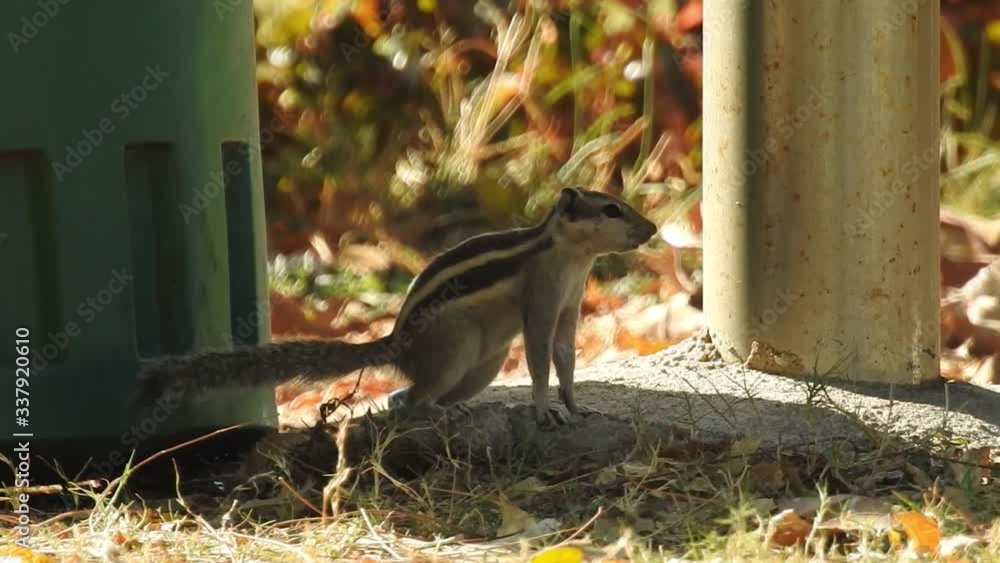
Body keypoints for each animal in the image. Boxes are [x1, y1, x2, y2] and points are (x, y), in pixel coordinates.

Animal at [133, 187, 658, 427]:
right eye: (611, 209)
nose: (652, 229)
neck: (570, 256)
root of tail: (396, 345)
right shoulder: (543, 300)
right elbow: (538, 357)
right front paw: (544, 409)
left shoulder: (570, 303)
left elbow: (565, 356)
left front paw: (575, 404)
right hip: (458, 345)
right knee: (416, 400)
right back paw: (443, 414)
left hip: (481, 365)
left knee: (407, 396)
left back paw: (453, 408)